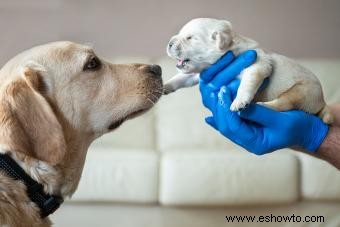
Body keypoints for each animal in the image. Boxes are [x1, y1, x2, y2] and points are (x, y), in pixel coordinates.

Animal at [165, 18, 332, 123]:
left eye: (189, 38)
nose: (169, 43)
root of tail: (322, 102)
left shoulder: (258, 64)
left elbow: (247, 83)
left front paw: (239, 101)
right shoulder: (197, 73)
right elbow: (180, 78)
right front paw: (164, 86)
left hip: (302, 91)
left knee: (285, 104)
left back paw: (263, 106)